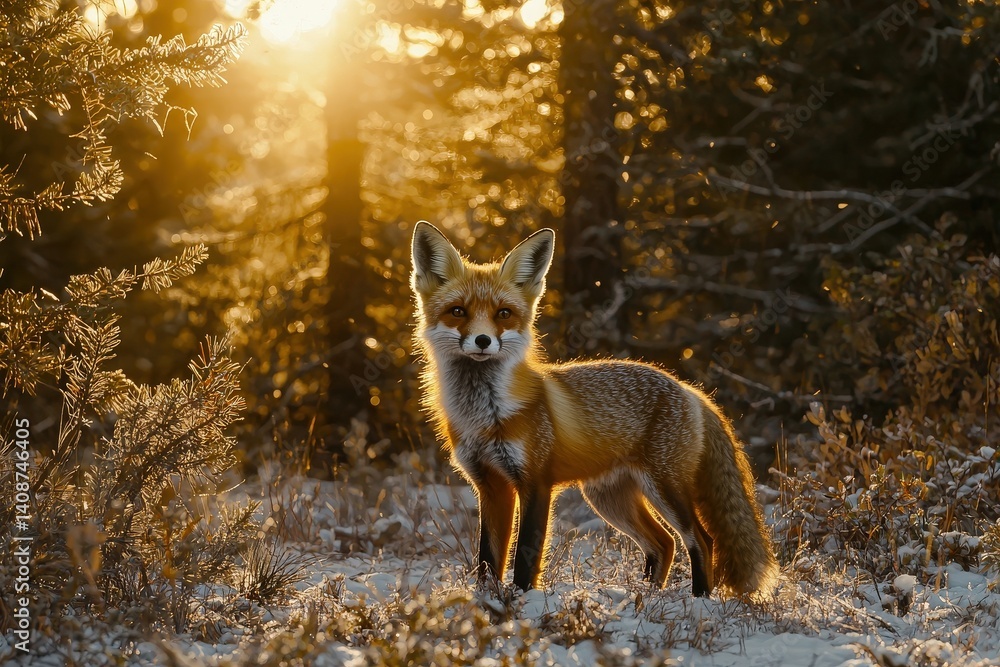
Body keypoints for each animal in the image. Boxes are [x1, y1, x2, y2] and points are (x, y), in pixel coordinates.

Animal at [410, 221, 779, 598]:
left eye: (504, 314)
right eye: (458, 311)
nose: (483, 341)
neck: (485, 415)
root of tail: (688, 388)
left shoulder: (536, 482)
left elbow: (526, 557)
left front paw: (523, 601)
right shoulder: (490, 485)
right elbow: (487, 560)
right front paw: (486, 602)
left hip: (665, 487)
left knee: (701, 541)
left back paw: (699, 600)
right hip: (609, 499)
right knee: (664, 543)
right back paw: (646, 596)